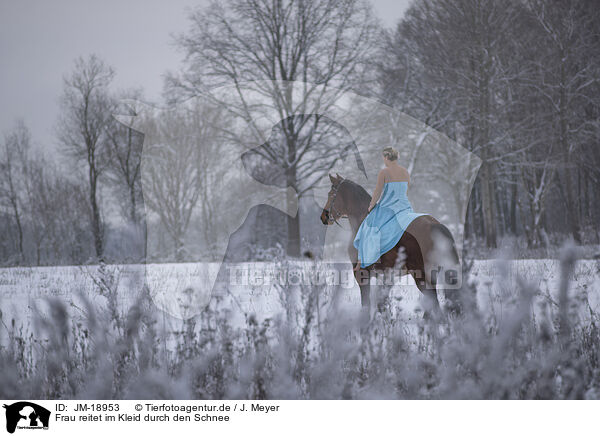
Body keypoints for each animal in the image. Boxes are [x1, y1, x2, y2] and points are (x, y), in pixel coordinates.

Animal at [322, 173, 462, 316]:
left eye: (330, 194)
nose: (324, 217)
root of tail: (435, 225)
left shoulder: (362, 275)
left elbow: (366, 304)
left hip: (421, 276)